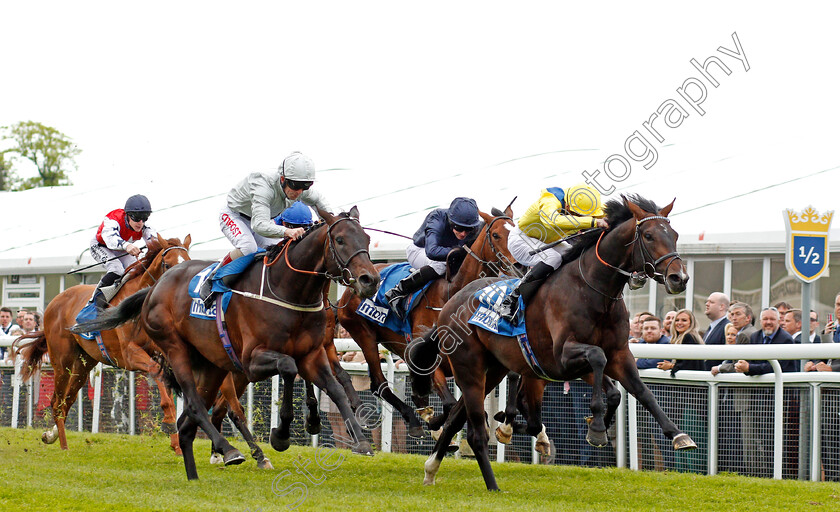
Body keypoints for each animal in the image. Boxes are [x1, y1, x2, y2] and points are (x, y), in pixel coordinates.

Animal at [14, 235, 190, 452]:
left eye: (189, 260)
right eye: (167, 264)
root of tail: (54, 302)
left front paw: (177, 441)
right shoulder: (129, 355)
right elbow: (159, 381)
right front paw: (173, 433)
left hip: (83, 364)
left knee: (67, 401)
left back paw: (51, 435)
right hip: (62, 361)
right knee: (57, 402)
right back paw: (64, 446)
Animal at [72, 208, 380, 480]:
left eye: (366, 238)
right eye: (339, 240)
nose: (370, 279)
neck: (287, 289)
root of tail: (153, 289)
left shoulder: (314, 353)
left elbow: (335, 387)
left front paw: (360, 438)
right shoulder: (251, 360)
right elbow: (288, 367)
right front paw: (281, 434)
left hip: (213, 366)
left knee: (198, 413)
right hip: (175, 350)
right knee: (197, 405)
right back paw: (229, 450)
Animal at [334, 206, 520, 438]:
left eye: (517, 230)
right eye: (496, 235)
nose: (518, 264)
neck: (453, 293)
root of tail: (349, 288)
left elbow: (512, 373)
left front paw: (507, 423)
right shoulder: (432, 361)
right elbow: (449, 404)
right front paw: (435, 423)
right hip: (363, 334)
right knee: (378, 383)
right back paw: (415, 420)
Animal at [408, 194, 696, 490]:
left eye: (674, 235)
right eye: (648, 236)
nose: (679, 278)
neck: (593, 289)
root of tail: (448, 306)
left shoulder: (619, 354)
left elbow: (640, 391)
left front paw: (677, 434)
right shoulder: (562, 357)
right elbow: (597, 358)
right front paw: (596, 427)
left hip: (492, 370)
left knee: (456, 418)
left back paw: (431, 469)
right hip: (469, 367)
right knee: (476, 432)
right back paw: (492, 484)